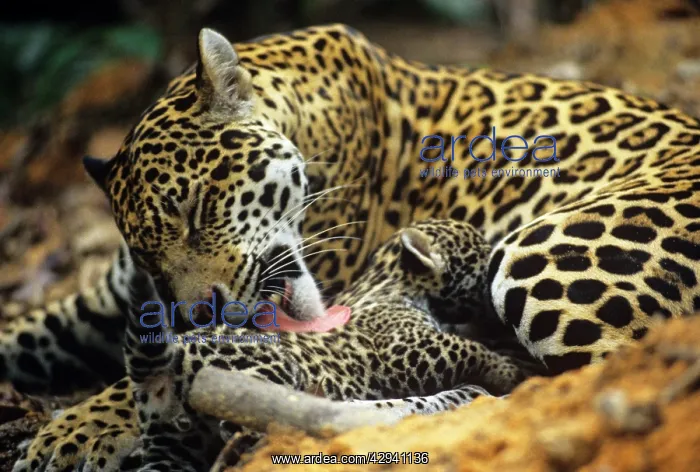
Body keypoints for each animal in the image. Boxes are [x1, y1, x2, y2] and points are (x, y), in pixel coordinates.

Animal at [14, 219, 529, 471]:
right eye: (479, 253)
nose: (496, 261)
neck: (389, 277)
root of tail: (168, 362)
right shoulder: (407, 348)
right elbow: (463, 349)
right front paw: (507, 370)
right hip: (260, 378)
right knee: (252, 425)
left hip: (170, 438)